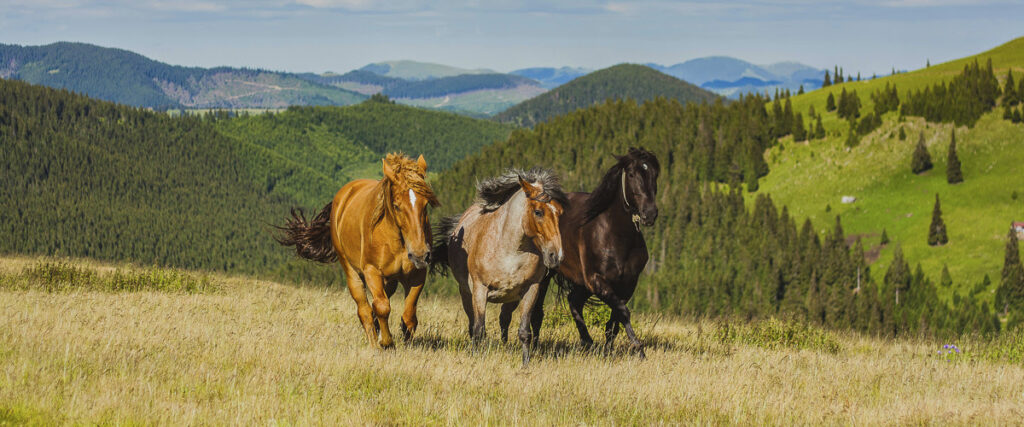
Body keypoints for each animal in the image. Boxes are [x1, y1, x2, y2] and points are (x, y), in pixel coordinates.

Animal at [275, 153, 440, 348]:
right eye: (397, 205)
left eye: (425, 204)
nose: (420, 254)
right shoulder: (371, 271)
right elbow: (382, 307)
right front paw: (386, 342)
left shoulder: (417, 275)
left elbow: (409, 317)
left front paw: (404, 340)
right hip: (351, 271)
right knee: (365, 310)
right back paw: (375, 342)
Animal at [431, 168, 568, 366]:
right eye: (538, 212)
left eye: (560, 212)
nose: (556, 256)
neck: (510, 251)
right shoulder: (480, 290)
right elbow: (479, 330)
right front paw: (476, 358)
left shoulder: (531, 290)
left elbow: (524, 330)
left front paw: (525, 363)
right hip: (466, 294)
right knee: (473, 324)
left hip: (511, 299)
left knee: (504, 319)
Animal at [499, 148, 660, 358]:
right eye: (632, 174)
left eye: (655, 174)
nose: (650, 214)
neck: (616, 234)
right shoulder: (596, 281)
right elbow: (623, 312)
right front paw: (638, 348)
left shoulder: (627, 284)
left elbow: (614, 320)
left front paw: (609, 350)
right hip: (547, 277)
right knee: (538, 313)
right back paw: (535, 346)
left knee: (573, 301)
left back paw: (587, 342)